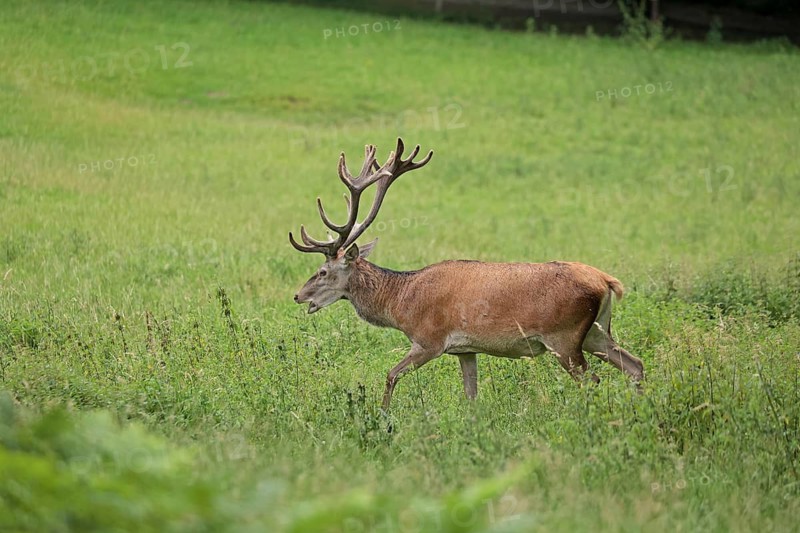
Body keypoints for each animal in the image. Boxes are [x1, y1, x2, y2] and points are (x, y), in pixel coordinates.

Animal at [289, 138, 644, 410]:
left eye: (322, 271)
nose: (297, 295)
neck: (401, 302)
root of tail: (607, 281)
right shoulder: (466, 349)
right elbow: (471, 395)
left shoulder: (429, 339)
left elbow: (391, 375)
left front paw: (382, 416)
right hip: (596, 332)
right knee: (634, 364)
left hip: (565, 336)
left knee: (593, 380)